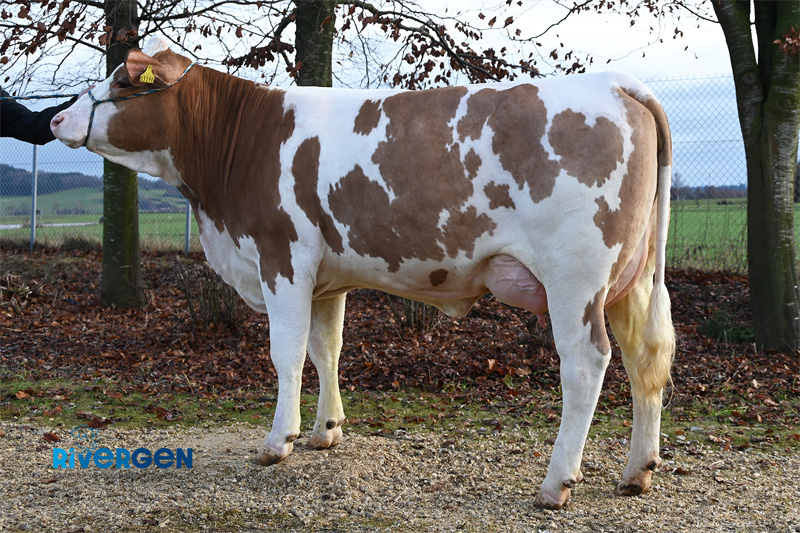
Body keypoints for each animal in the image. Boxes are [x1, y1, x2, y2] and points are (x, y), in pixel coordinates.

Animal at [51, 37, 675, 510]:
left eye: (124, 83)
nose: (56, 117)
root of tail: (617, 84)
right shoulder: (326, 278)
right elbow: (326, 348)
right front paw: (325, 431)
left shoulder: (282, 260)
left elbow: (286, 352)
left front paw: (279, 441)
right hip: (633, 278)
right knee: (645, 358)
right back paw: (637, 471)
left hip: (575, 277)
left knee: (586, 364)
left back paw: (556, 483)